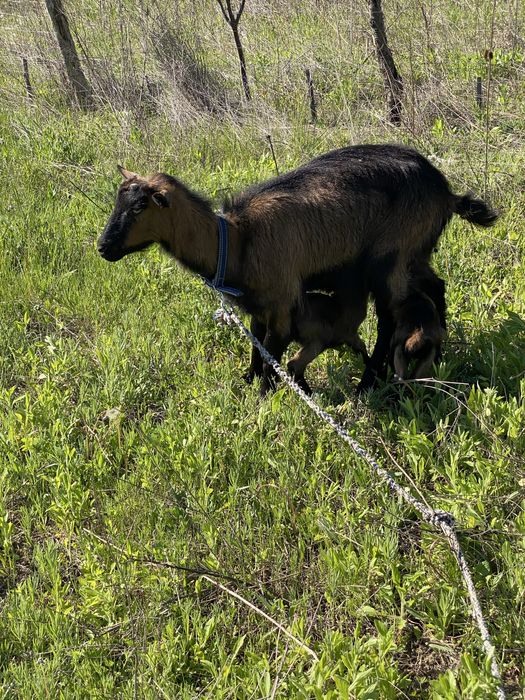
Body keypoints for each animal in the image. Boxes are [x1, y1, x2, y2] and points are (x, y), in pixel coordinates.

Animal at [97, 144, 497, 394]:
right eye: (118, 201)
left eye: (140, 206)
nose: (103, 247)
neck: (237, 241)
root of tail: (445, 191)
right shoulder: (258, 307)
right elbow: (257, 347)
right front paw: (246, 381)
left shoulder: (283, 304)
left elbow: (272, 356)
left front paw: (264, 399)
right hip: (416, 253)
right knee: (436, 287)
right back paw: (436, 358)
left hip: (390, 257)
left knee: (388, 319)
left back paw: (368, 383)